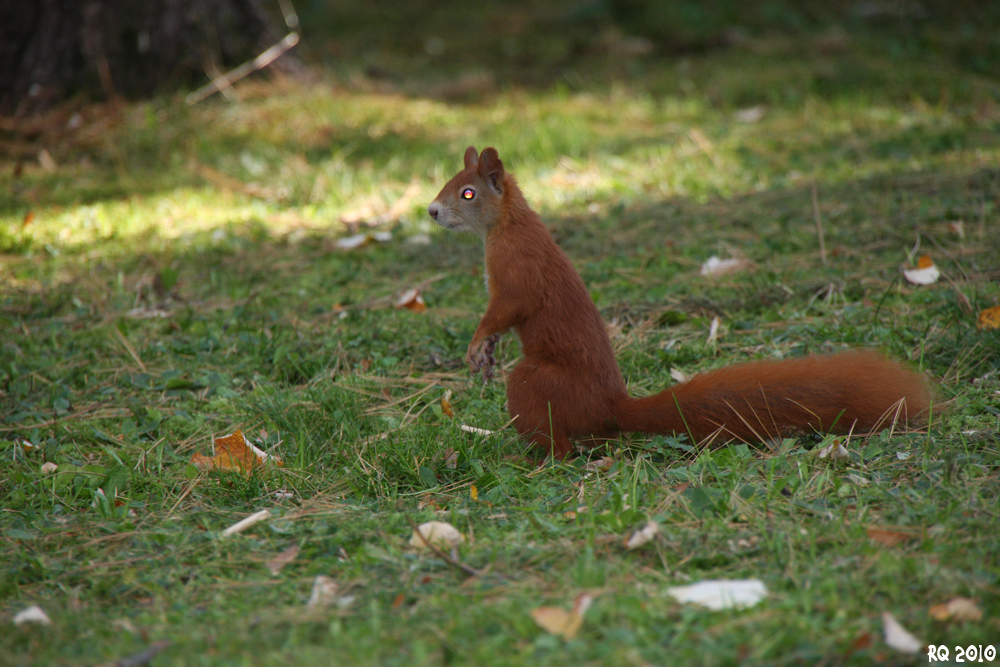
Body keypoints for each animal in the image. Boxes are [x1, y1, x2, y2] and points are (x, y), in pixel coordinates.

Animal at [426, 146, 932, 460]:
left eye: (468, 192)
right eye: (449, 182)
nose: (430, 211)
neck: (507, 224)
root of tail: (610, 407)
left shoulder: (516, 274)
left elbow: (504, 310)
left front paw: (477, 344)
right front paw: (485, 354)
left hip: (536, 383)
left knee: (562, 447)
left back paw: (532, 459)